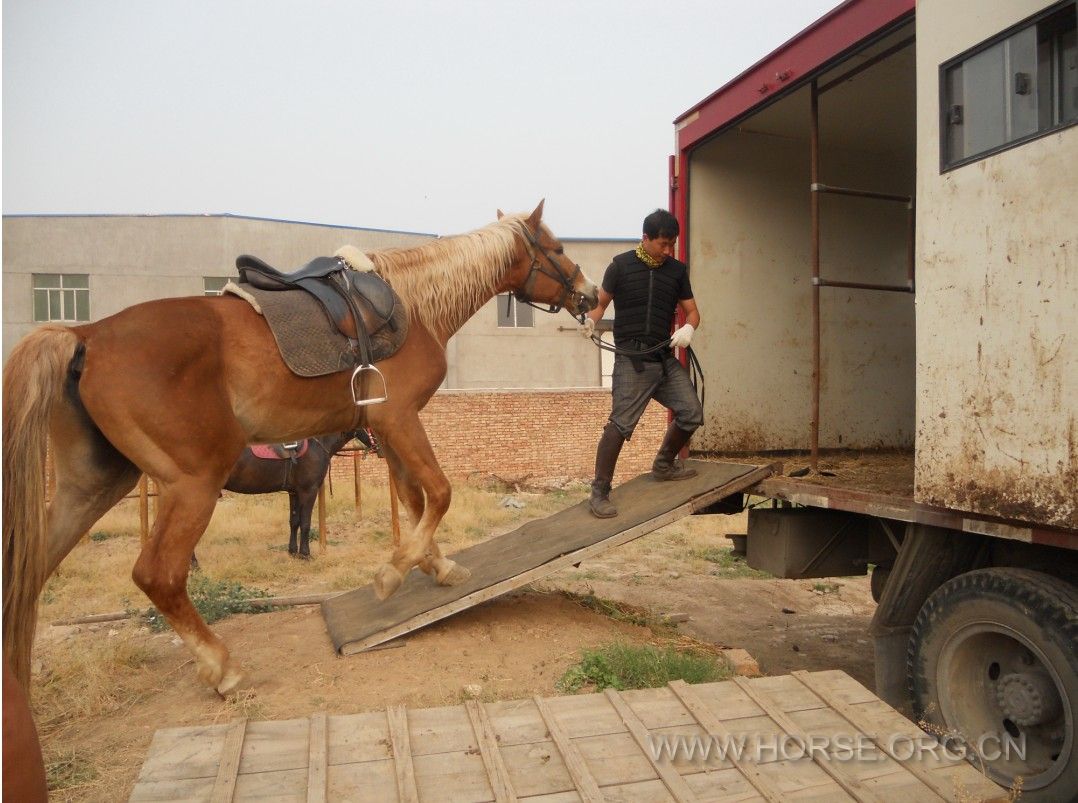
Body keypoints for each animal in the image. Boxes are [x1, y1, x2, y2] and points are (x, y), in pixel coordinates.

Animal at [223, 433, 370, 556]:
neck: (317, 443)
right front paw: (305, 554)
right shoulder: (308, 491)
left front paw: (293, 551)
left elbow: (294, 521)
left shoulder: (294, 492)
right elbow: (305, 523)